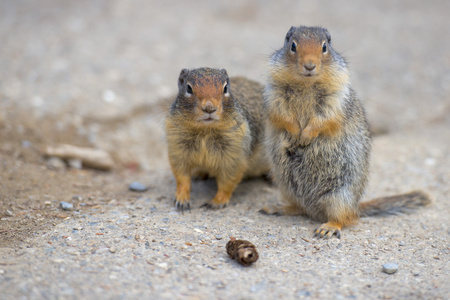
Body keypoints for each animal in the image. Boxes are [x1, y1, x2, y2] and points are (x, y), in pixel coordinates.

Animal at [166, 67, 268, 211]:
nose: (209, 108)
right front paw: (182, 200)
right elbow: (182, 176)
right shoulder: (178, 147)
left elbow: (227, 181)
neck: (205, 131)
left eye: (225, 88)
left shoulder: (234, 154)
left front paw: (216, 202)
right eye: (189, 88)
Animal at [262, 25, 430, 238]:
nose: (309, 66)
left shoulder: (335, 99)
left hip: (339, 195)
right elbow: (283, 115)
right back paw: (278, 208)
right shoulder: (274, 95)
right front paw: (294, 134)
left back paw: (328, 227)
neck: (306, 84)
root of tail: (356, 206)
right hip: (286, 186)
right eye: (292, 45)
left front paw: (305, 136)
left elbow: (324, 119)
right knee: (300, 207)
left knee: (345, 219)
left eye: (324, 47)